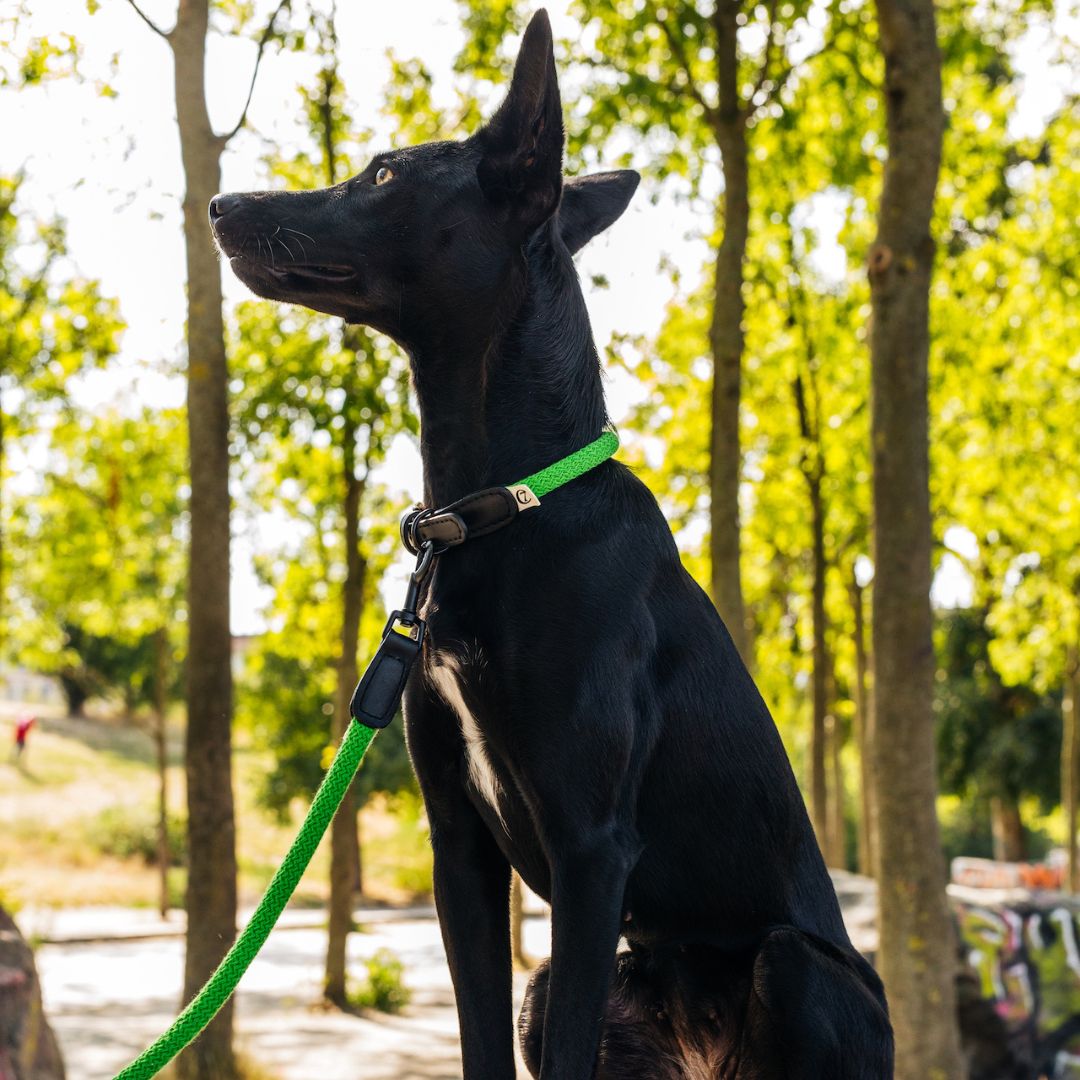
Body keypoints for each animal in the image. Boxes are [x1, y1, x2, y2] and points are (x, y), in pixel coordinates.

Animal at [208, 10, 894, 1080]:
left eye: (383, 175)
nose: (219, 202)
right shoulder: (460, 848)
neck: (497, 512)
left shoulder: (589, 852)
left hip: (794, 967)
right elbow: (480, 1041)